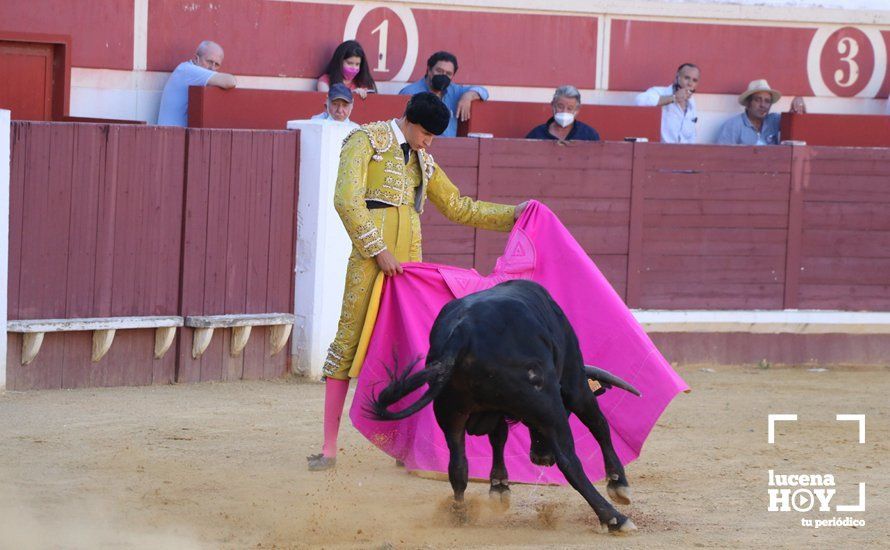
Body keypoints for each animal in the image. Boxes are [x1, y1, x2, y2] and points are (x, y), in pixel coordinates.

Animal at [368, 280, 640, 536]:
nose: (541, 458)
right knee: (569, 460)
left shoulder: (495, 409)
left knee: (458, 466)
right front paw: (619, 484)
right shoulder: (575, 381)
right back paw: (614, 518)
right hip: (548, 404)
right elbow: (599, 424)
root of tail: (462, 333)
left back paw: (460, 514)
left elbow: (498, 438)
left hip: (449, 413)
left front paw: (499, 486)